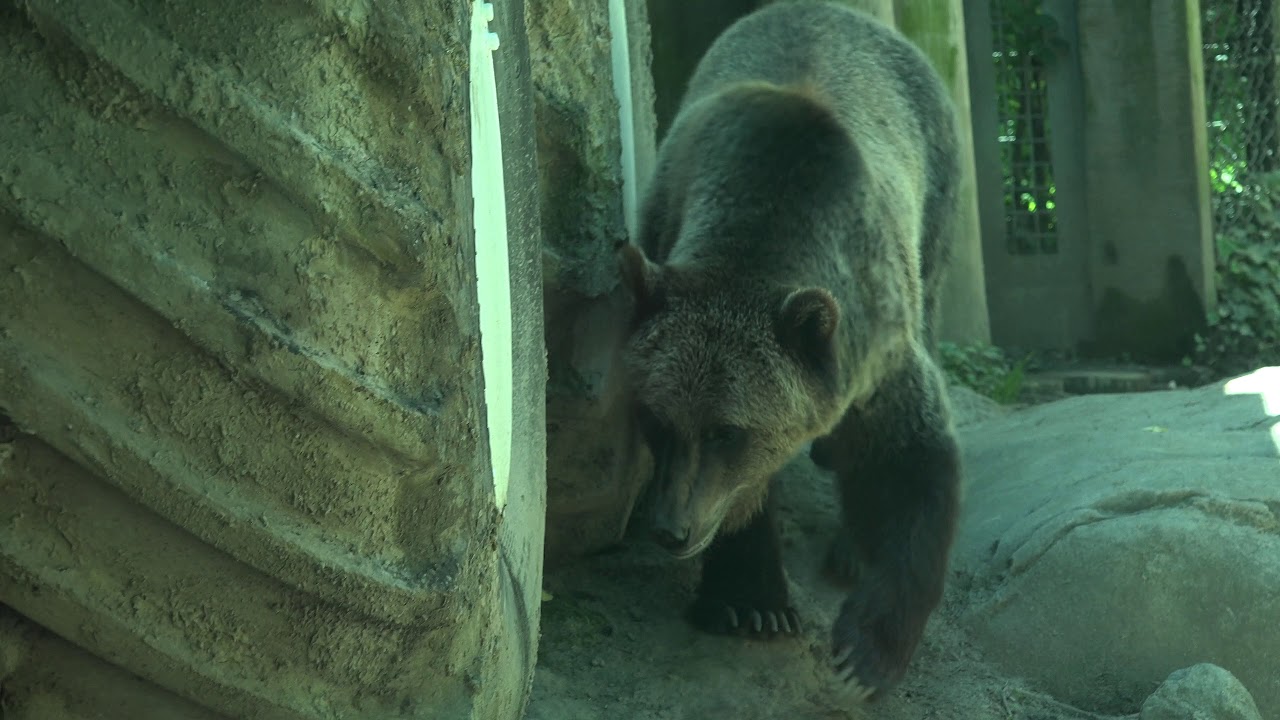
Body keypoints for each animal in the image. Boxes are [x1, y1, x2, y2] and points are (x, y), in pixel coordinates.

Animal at [615, 0, 964, 702]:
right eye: (656, 420)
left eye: (727, 431)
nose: (670, 528)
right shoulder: (670, 216)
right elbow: (746, 501)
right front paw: (750, 602)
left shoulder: (874, 340)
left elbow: (910, 458)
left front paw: (866, 653)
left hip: (936, 200)